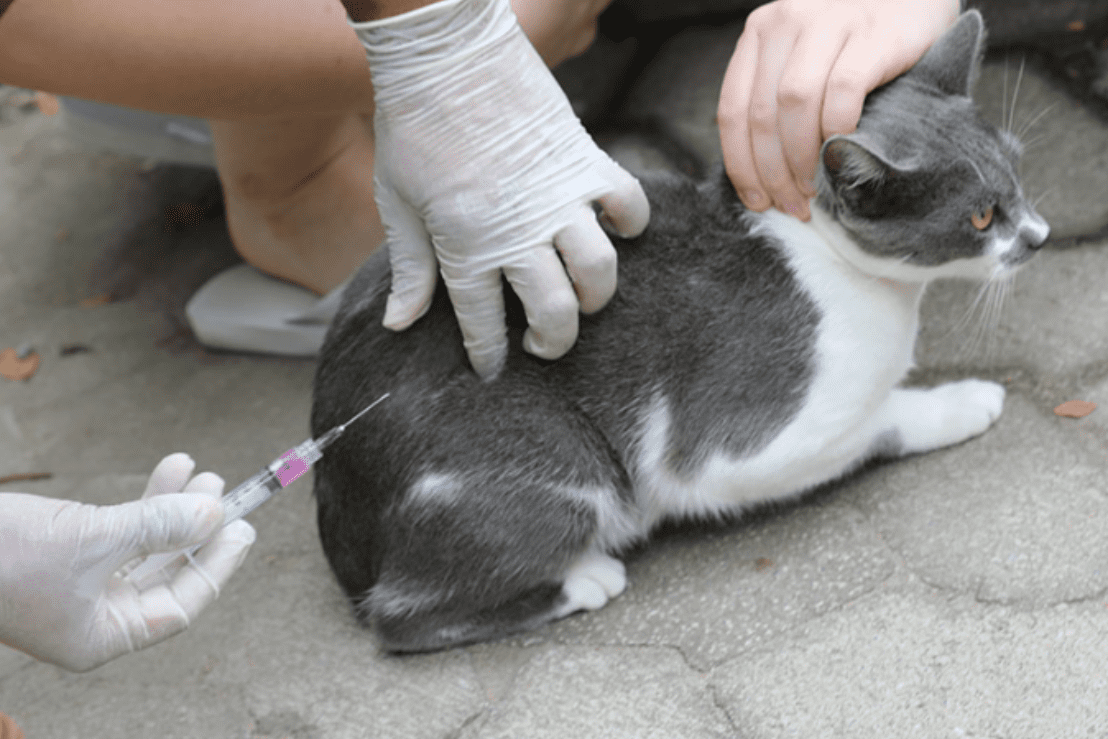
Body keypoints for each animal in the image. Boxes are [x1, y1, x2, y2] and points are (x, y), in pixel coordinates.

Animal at [310, 8, 1045, 651]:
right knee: (400, 618)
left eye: (1018, 172)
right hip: (560, 469)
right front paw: (964, 401)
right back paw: (584, 578)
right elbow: (881, 419)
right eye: (982, 217)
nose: (1040, 236)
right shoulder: (738, 448)